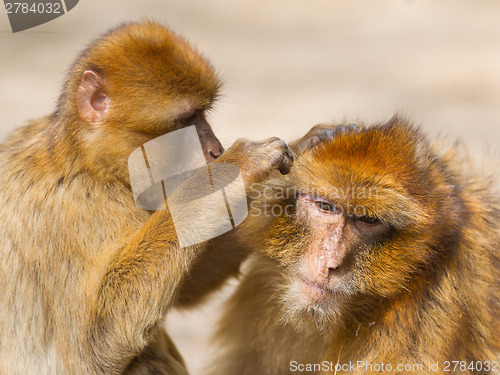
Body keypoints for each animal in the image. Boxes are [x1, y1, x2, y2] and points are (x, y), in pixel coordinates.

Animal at [0, 21, 294, 375]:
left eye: (203, 114)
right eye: (186, 120)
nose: (216, 151)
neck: (89, 163)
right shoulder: (76, 210)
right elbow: (96, 345)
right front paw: (236, 166)